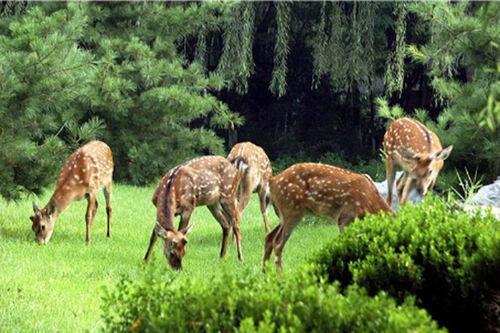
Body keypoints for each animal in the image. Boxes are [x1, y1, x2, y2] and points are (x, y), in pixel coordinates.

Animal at [264, 162, 392, 268]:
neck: (370, 201)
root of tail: (272, 181)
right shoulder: (346, 217)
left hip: (285, 214)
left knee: (269, 237)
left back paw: (266, 274)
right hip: (291, 210)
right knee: (277, 243)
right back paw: (280, 277)